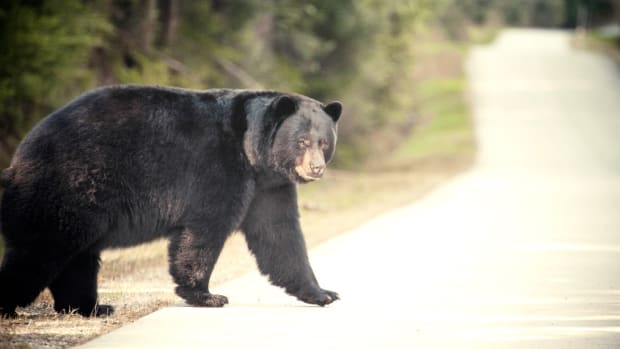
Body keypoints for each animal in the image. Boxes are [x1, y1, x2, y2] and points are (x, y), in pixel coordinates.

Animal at [0, 84, 342, 316]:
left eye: (324, 142)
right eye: (302, 141)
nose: (316, 168)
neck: (253, 153)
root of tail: (18, 159)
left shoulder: (268, 186)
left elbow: (280, 235)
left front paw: (322, 292)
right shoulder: (219, 166)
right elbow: (206, 227)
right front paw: (206, 295)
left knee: (77, 257)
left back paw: (90, 307)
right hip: (72, 185)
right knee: (42, 249)